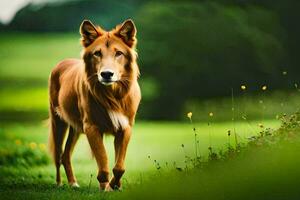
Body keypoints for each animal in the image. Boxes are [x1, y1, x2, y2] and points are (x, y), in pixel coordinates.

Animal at [47, 18, 141, 191]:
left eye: (119, 53)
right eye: (97, 53)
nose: (107, 74)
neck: (112, 95)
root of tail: (62, 62)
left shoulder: (125, 127)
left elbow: (119, 167)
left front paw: (115, 185)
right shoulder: (92, 127)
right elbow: (103, 162)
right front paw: (106, 187)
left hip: (76, 128)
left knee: (66, 155)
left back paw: (73, 183)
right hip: (58, 122)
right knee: (58, 155)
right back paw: (60, 183)